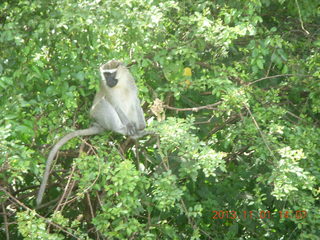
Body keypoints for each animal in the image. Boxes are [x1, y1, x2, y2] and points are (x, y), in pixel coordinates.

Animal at [37, 59, 147, 205]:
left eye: (112, 74)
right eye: (105, 75)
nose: (109, 81)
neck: (120, 82)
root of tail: (99, 124)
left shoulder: (130, 80)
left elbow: (135, 99)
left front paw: (142, 126)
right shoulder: (106, 88)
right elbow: (114, 104)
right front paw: (129, 127)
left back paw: (136, 130)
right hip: (99, 115)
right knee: (103, 103)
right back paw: (124, 130)